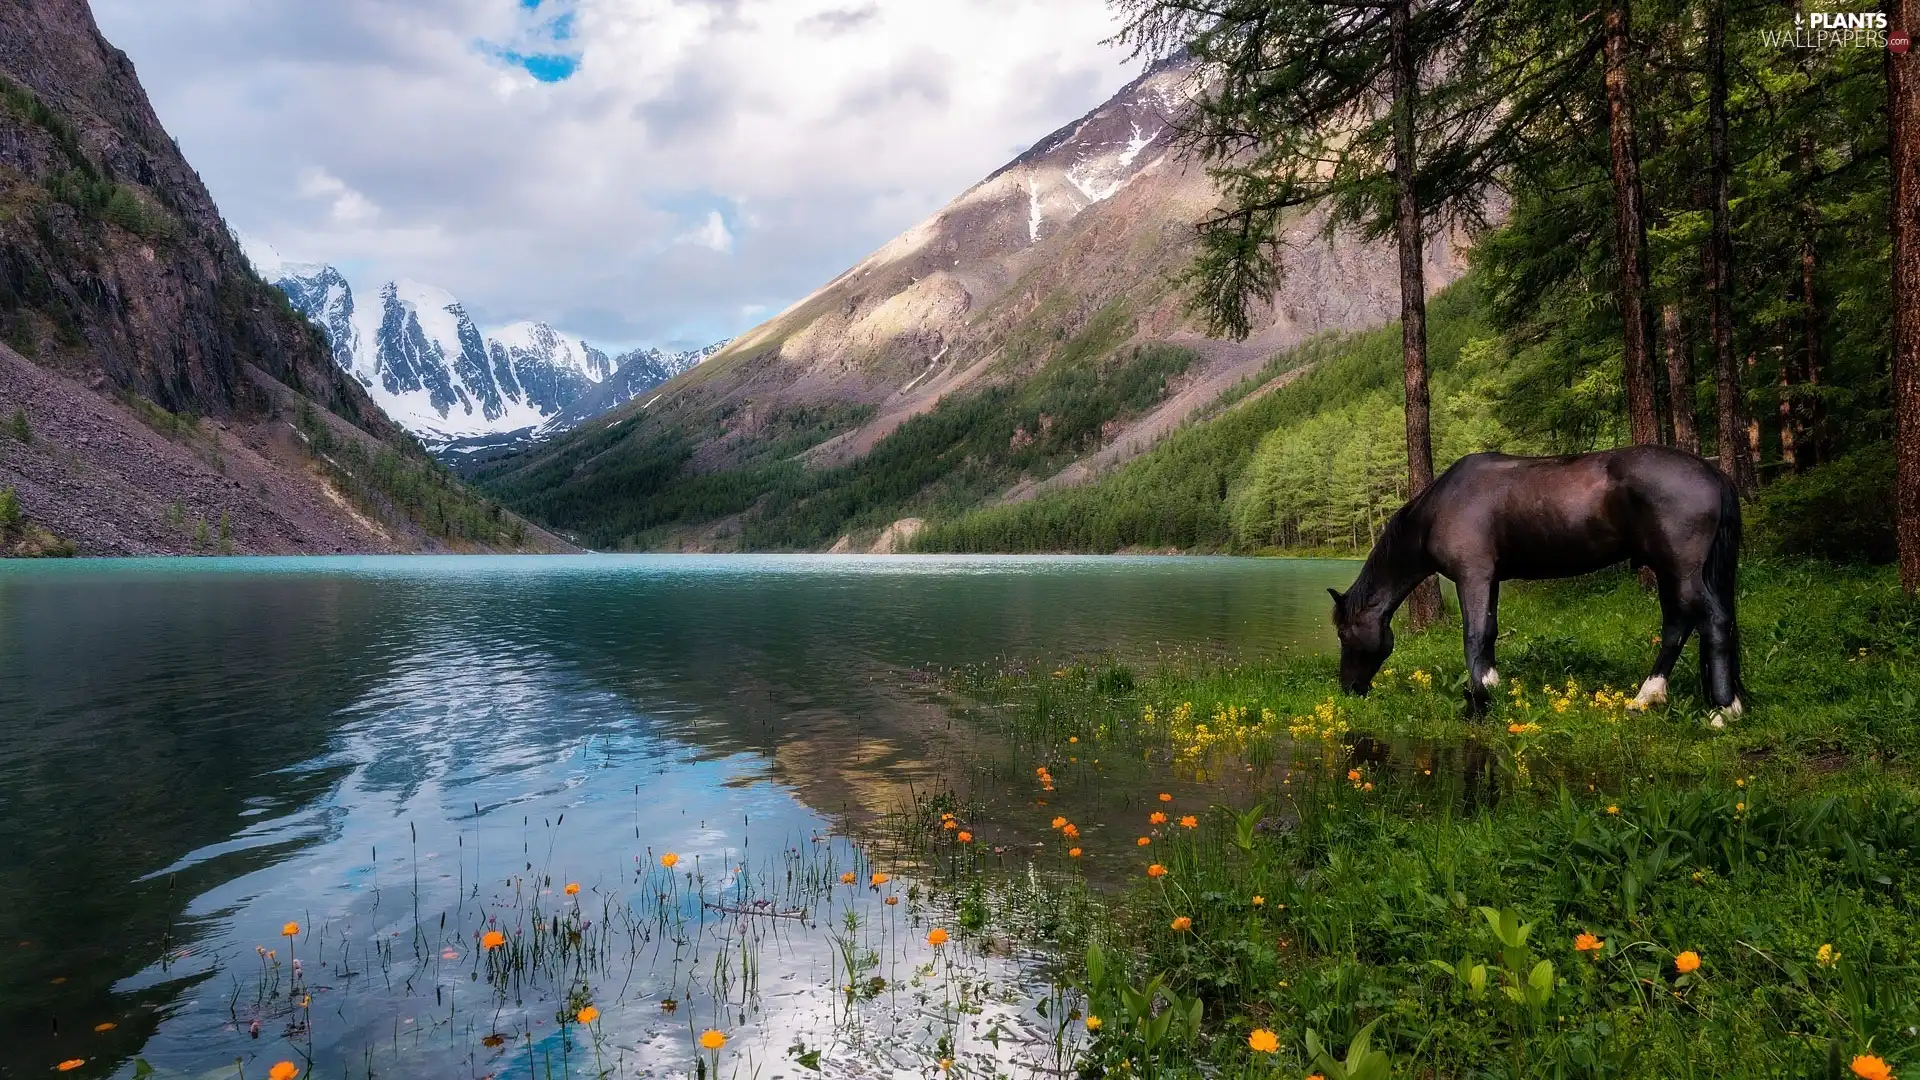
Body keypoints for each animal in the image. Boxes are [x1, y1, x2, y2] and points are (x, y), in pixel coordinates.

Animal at [1328, 445, 1751, 722]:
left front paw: (1477, 701)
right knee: (1678, 625)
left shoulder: (1473, 575)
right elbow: (1490, 633)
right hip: (1672, 571)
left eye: (1344, 635)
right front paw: (1492, 688)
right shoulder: (1490, 578)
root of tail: (1712, 472)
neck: (1438, 508)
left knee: (1711, 621)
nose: (1348, 688)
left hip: (1682, 570)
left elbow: (1474, 636)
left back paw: (1722, 710)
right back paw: (1647, 697)